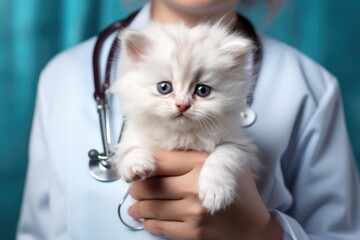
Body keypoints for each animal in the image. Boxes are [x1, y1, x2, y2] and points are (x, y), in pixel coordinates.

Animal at [110, 19, 258, 213]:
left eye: (202, 90)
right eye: (164, 87)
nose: (182, 105)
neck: (181, 136)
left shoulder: (239, 144)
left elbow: (222, 156)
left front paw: (215, 192)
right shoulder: (133, 137)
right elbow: (130, 150)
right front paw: (137, 166)